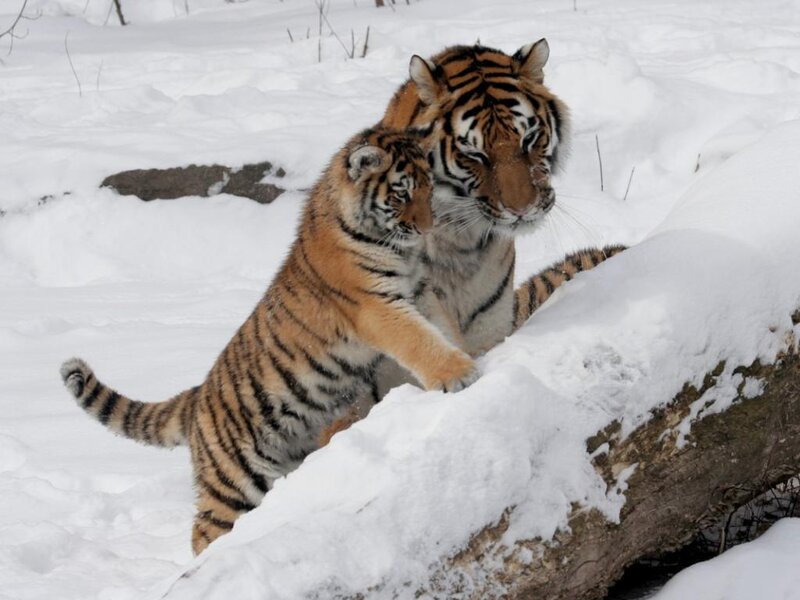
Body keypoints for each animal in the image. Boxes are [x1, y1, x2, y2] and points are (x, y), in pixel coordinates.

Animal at [59, 126, 479, 555]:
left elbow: (442, 330)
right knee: (205, 532)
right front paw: (459, 375)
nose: (427, 229)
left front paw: (474, 358)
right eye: (400, 194)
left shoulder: (421, 293)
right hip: (234, 481)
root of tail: (196, 396)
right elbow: (418, 340)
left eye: (429, 189)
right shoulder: (376, 305)